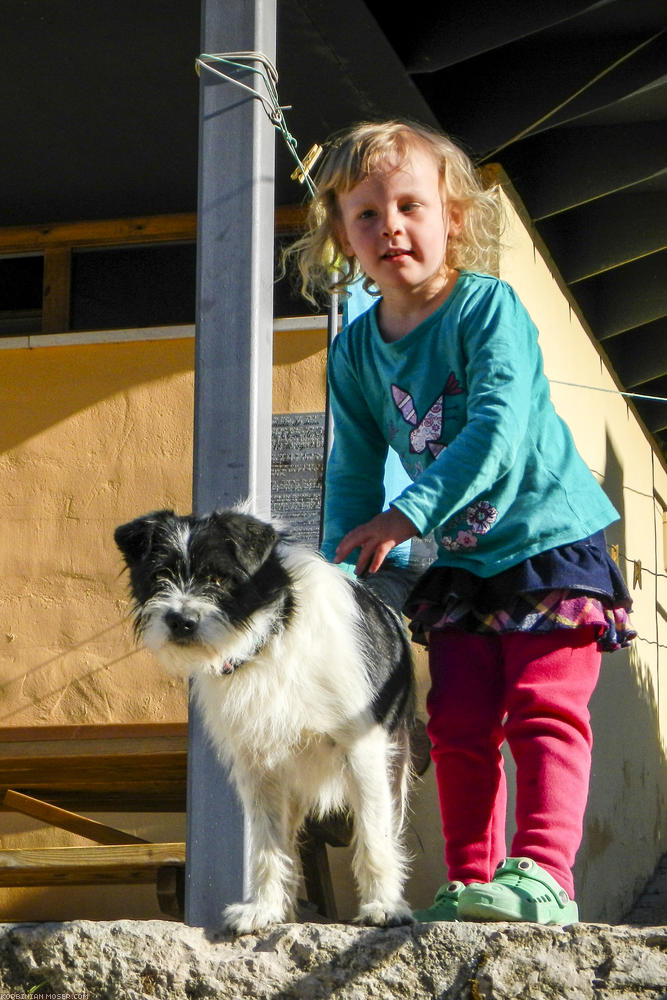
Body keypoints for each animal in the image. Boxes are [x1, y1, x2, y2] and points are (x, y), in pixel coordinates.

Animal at [115, 512, 418, 932]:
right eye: (160, 575)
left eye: (219, 578)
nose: (181, 620)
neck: (271, 637)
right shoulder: (259, 766)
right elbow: (266, 842)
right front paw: (264, 909)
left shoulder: (364, 750)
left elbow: (375, 833)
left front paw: (384, 905)